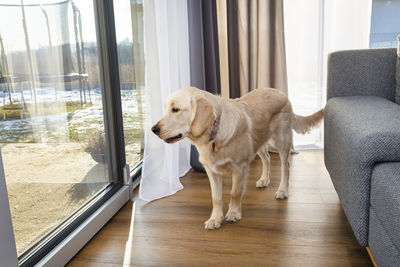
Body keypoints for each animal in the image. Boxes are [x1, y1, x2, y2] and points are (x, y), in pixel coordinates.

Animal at [152, 87, 324, 230]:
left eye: (176, 109)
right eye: (166, 108)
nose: (154, 129)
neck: (214, 135)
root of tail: (281, 93)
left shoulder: (240, 167)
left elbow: (235, 192)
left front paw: (234, 213)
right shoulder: (211, 171)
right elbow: (216, 197)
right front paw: (215, 219)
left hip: (282, 141)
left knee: (285, 166)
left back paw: (282, 190)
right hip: (258, 142)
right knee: (267, 158)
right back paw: (264, 180)